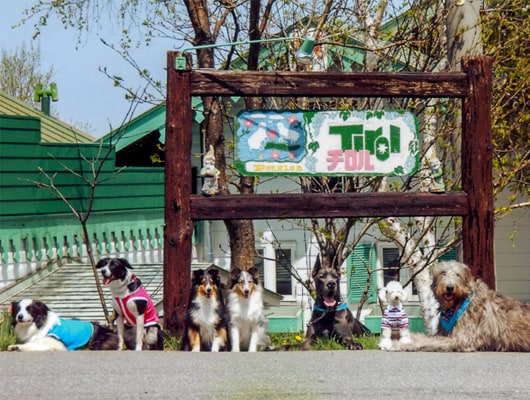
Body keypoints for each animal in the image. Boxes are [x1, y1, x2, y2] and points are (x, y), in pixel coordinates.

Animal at [400, 260, 528, 352]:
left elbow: (430, 341)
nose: (450, 287)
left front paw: (404, 344)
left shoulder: (462, 338)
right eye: (443, 272)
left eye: (458, 274)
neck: (459, 303)